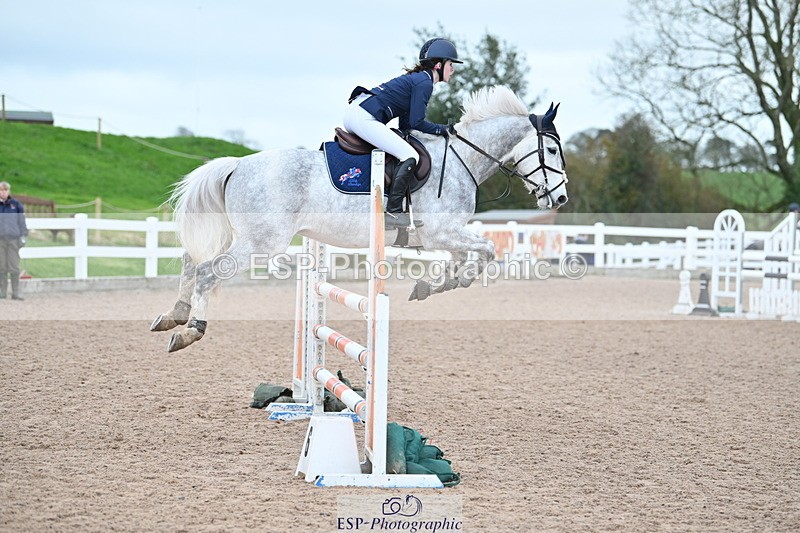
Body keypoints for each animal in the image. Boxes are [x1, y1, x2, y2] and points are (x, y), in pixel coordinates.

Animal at [151, 85, 568, 352]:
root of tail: (237, 165)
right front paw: (447, 283)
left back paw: (173, 316)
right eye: (550, 149)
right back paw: (190, 331)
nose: (561, 197)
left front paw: (433, 286)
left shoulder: (444, 237)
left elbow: (468, 258)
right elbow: (485, 251)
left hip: (238, 235)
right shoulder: (442, 233)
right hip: (261, 242)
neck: (462, 159)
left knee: (191, 262)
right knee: (208, 272)